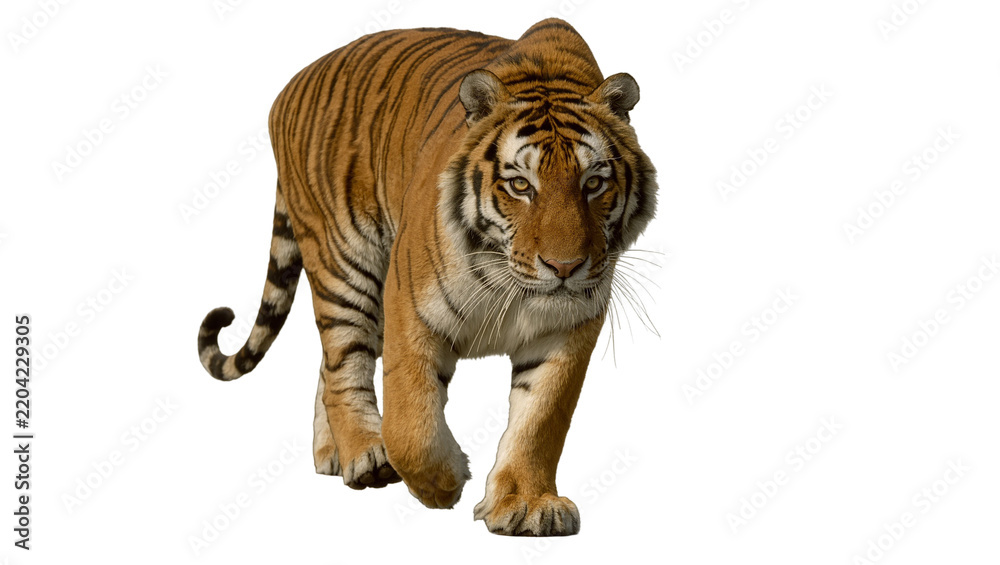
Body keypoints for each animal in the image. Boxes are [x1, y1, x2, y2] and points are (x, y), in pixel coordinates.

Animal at [197, 18, 657, 536]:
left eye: (593, 183)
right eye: (520, 185)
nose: (564, 267)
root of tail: (292, 84)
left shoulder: (567, 328)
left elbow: (541, 418)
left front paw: (525, 505)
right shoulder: (409, 306)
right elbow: (410, 421)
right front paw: (444, 482)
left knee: (328, 365)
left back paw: (331, 452)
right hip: (343, 261)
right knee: (343, 360)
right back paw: (365, 456)